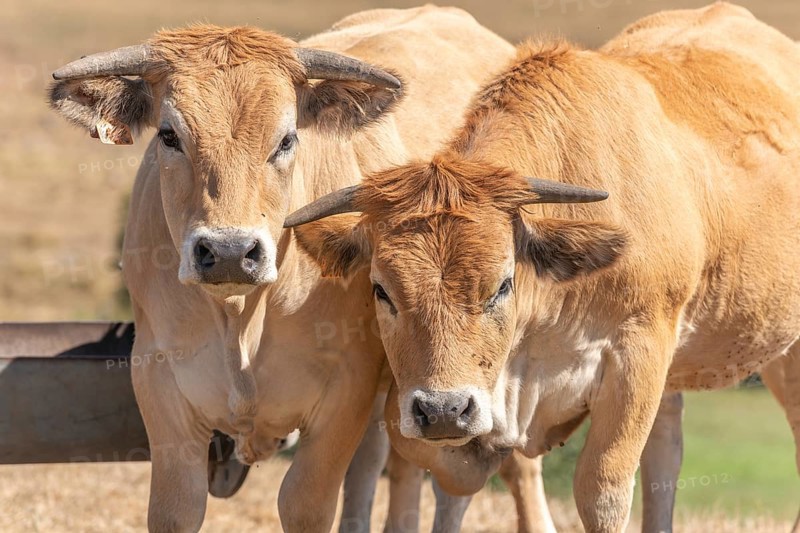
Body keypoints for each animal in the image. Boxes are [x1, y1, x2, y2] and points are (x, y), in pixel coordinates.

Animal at [48, 7, 515, 532]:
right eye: (169, 136)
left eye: (287, 139)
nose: (229, 250)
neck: (241, 318)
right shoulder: (160, 388)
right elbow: (176, 508)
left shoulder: (345, 394)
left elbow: (306, 503)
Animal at [284, 3, 800, 531]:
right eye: (381, 291)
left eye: (502, 286)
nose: (444, 409)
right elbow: (445, 465)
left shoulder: (638, 356)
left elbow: (602, 490)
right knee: (665, 454)